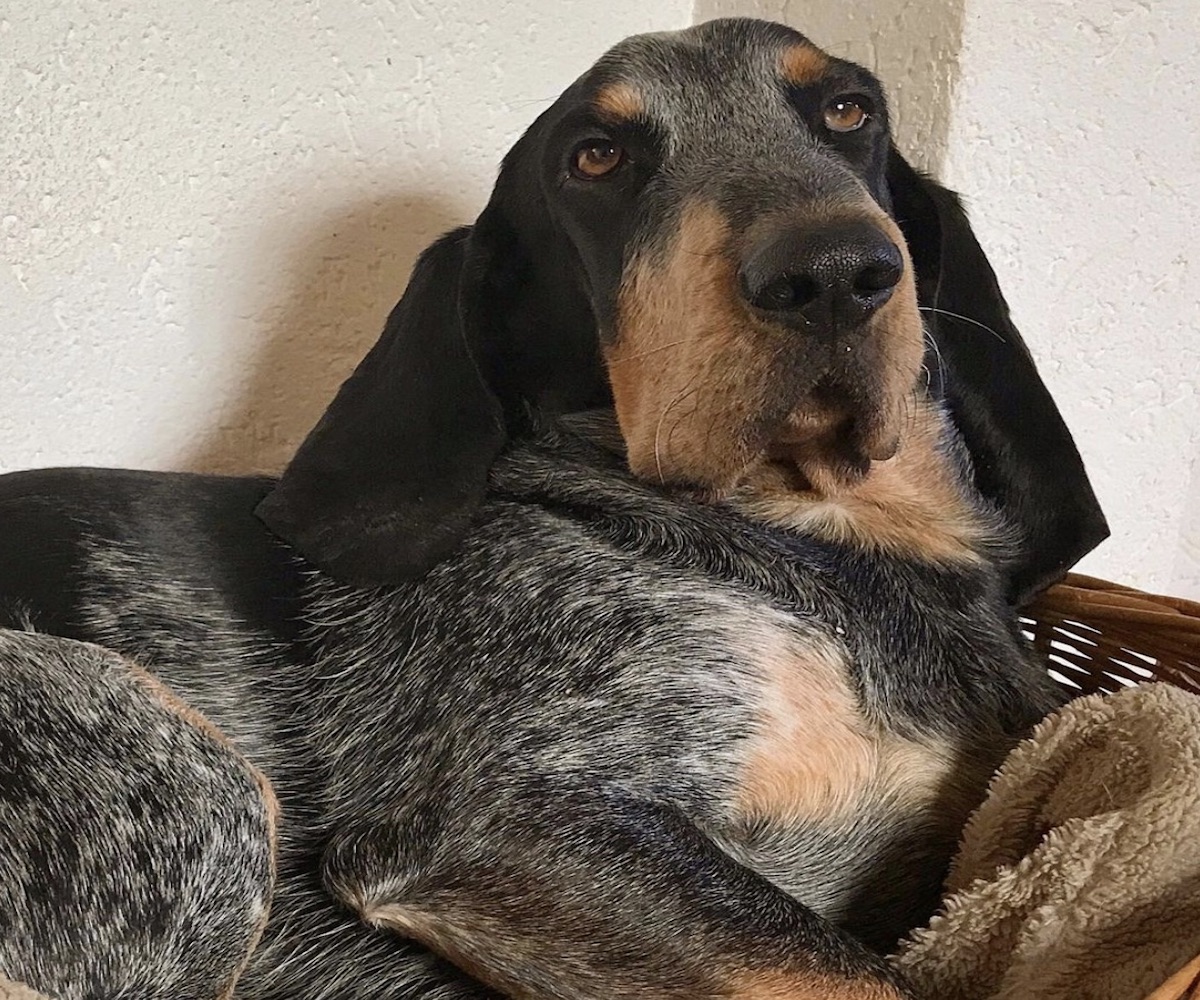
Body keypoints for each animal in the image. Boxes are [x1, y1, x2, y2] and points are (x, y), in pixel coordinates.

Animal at [0, 17, 1104, 998]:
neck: (829, 538)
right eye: (596, 157)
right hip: (190, 783)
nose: (834, 269)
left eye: (848, 109)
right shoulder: (511, 824)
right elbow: (855, 976)